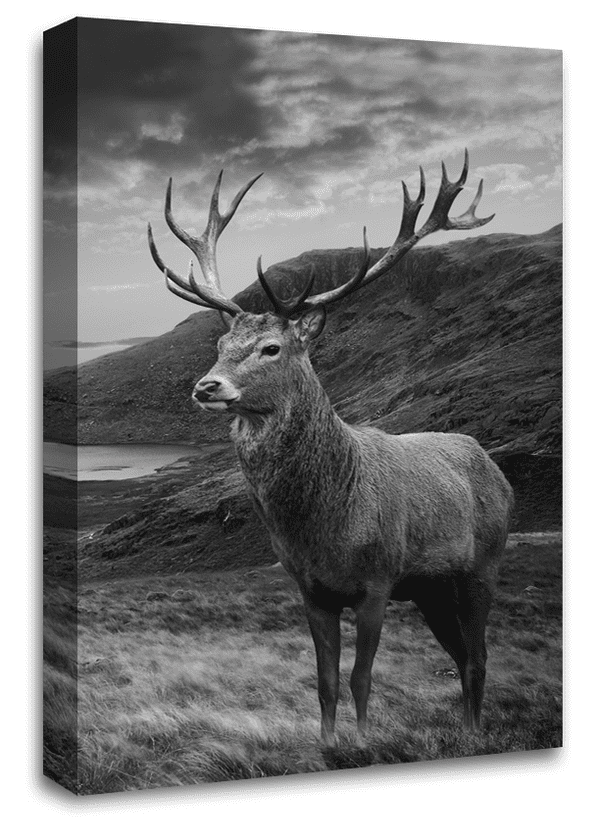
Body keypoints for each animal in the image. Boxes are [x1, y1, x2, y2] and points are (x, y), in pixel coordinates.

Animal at [148, 150, 514, 747]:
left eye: (272, 347)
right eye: (222, 342)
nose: (206, 386)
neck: (327, 525)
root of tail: (495, 469)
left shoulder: (377, 582)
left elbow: (362, 678)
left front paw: (362, 743)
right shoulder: (311, 589)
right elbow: (323, 680)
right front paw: (326, 743)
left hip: (482, 565)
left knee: (479, 657)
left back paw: (474, 734)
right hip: (432, 589)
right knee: (462, 657)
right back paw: (465, 731)